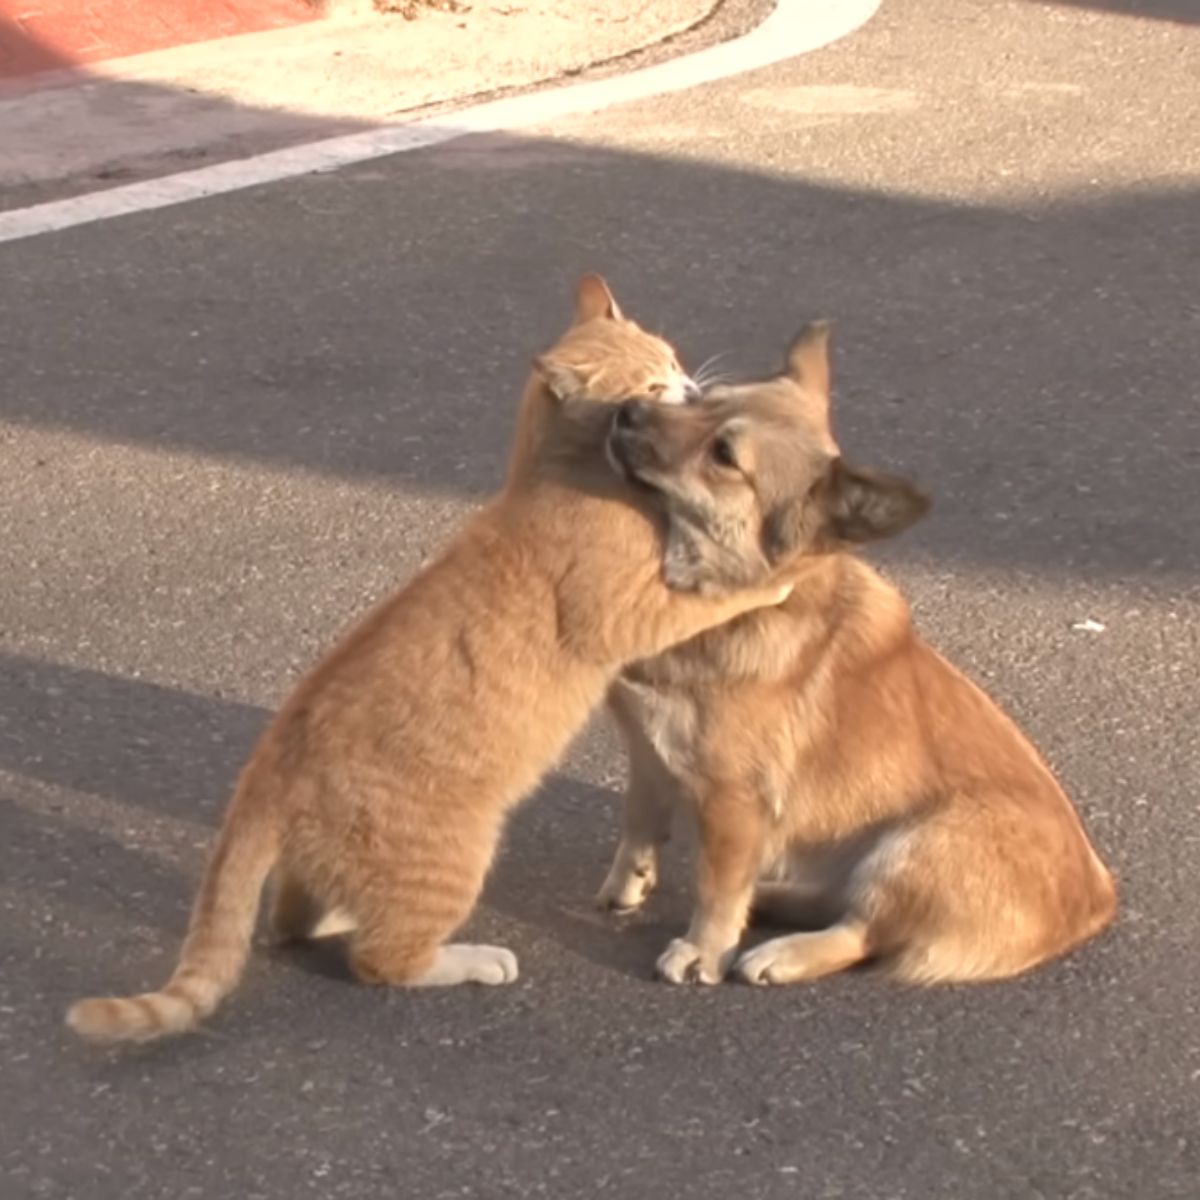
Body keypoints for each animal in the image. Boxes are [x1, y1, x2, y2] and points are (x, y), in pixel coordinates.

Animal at [68, 274, 796, 1041]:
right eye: (653, 388)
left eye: (675, 362)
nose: (692, 387)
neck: (555, 472)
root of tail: (265, 771)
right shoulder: (632, 613)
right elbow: (714, 597)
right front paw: (774, 578)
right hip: (453, 860)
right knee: (381, 960)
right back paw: (472, 959)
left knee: (291, 921)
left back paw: (333, 918)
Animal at [600, 324, 1113, 988]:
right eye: (699, 399)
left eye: (724, 457)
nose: (626, 410)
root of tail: (1098, 899)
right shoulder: (648, 753)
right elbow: (639, 823)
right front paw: (628, 883)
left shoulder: (735, 804)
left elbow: (717, 891)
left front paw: (703, 951)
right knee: (837, 899)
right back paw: (774, 899)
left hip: (916, 844)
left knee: (863, 931)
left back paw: (782, 952)